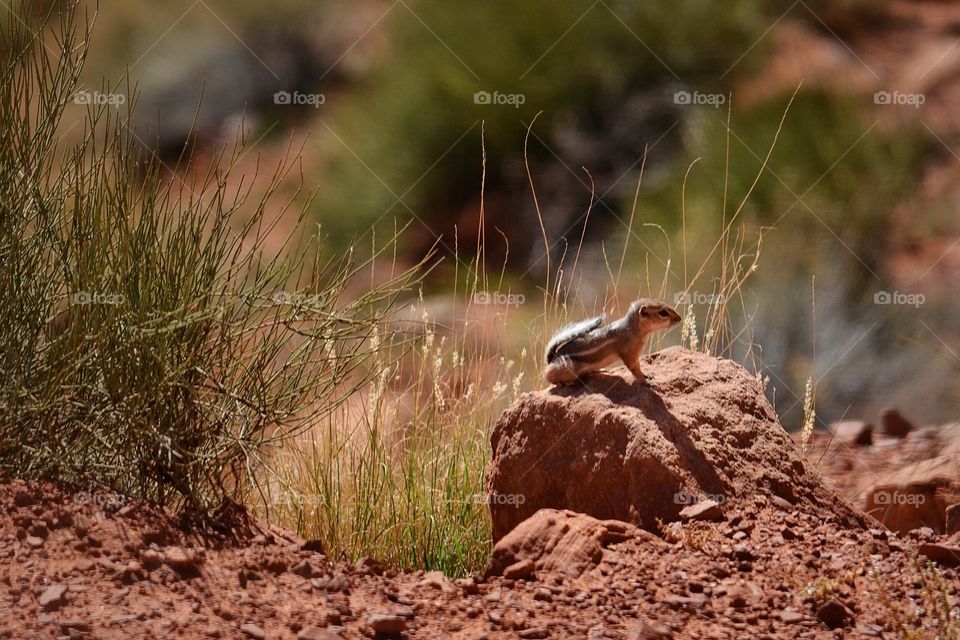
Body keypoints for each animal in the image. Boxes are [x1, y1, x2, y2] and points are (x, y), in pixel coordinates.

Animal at [544, 298, 681, 385]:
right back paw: (566, 383)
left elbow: (639, 366)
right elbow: (634, 369)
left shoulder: (635, 355)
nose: (679, 318)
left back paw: (599, 370)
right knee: (550, 377)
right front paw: (644, 381)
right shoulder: (629, 354)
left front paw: (646, 375)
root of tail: (552, 359)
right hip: (568, 367)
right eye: (663, 313)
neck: (633, 329)